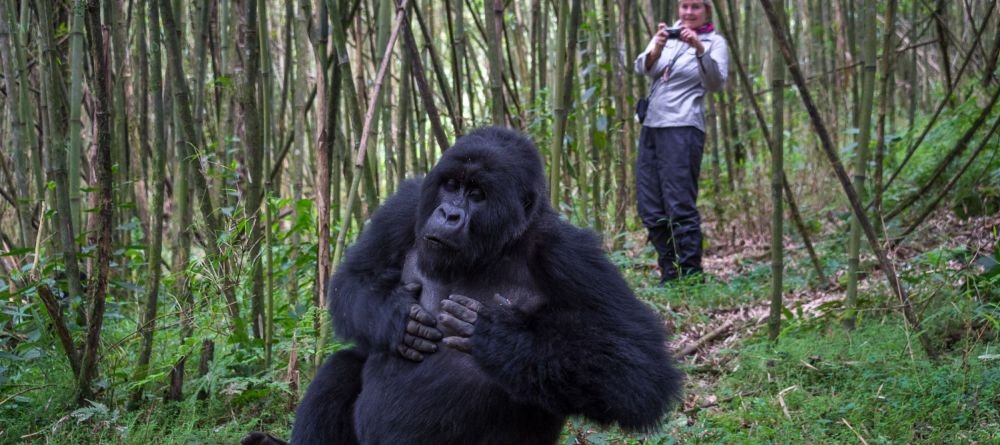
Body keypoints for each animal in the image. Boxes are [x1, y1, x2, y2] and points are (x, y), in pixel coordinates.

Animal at [244, 125, 680, 444]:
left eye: (477, 194)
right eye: (451, 185)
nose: (449, 214)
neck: (496, 246)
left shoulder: (571, 253)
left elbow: (638, 370)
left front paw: (500, 337)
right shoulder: (408, 203)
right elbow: (355, 278)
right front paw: (395, 316)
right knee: (344, 362)